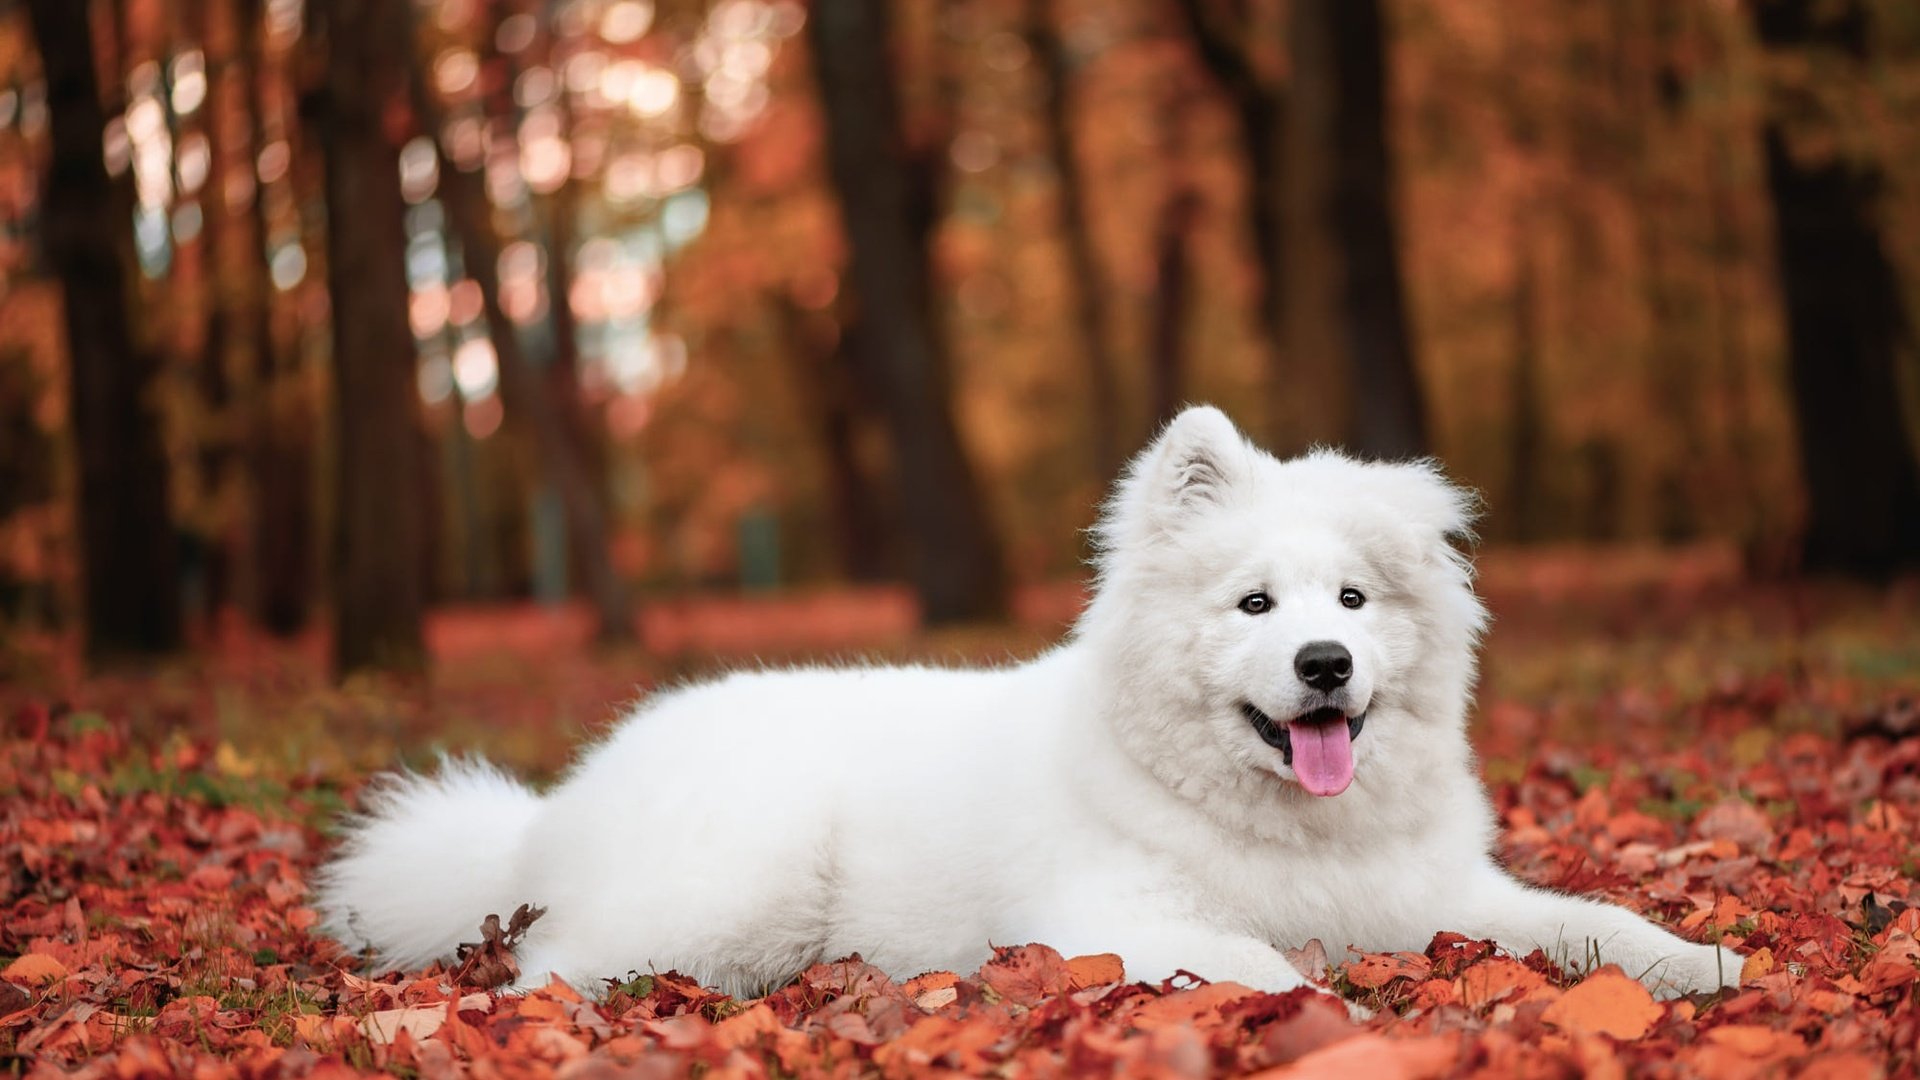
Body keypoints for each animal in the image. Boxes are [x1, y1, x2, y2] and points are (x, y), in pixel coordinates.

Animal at [318, 405, 1743, 999]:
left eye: (1351, 599)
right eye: (1255, 607)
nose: (1325, 668)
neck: (1287, 828)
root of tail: (546, 814)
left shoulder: (1443, 897)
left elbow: (1596, 923)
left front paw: (1709, 963)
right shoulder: (1112, 918)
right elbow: (1263, 964)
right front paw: (1329, 1015)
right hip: (733, 892)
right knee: (547, 970)